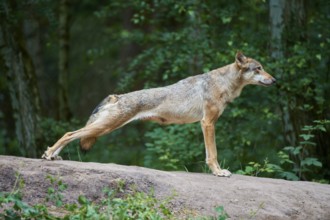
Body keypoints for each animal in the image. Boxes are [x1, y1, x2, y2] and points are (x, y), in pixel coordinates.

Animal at [42, 51, 276, 177]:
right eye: (258, 68)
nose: (275, 80)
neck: (224, 83)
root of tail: (116, 96)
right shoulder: (207, 123)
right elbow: (213, 154)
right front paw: (219, 172)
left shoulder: (207, 124)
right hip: (104, 128)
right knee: (69, 134)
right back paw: (49, 154)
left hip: (102, 128)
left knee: (71, 134)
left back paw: (52, 156)